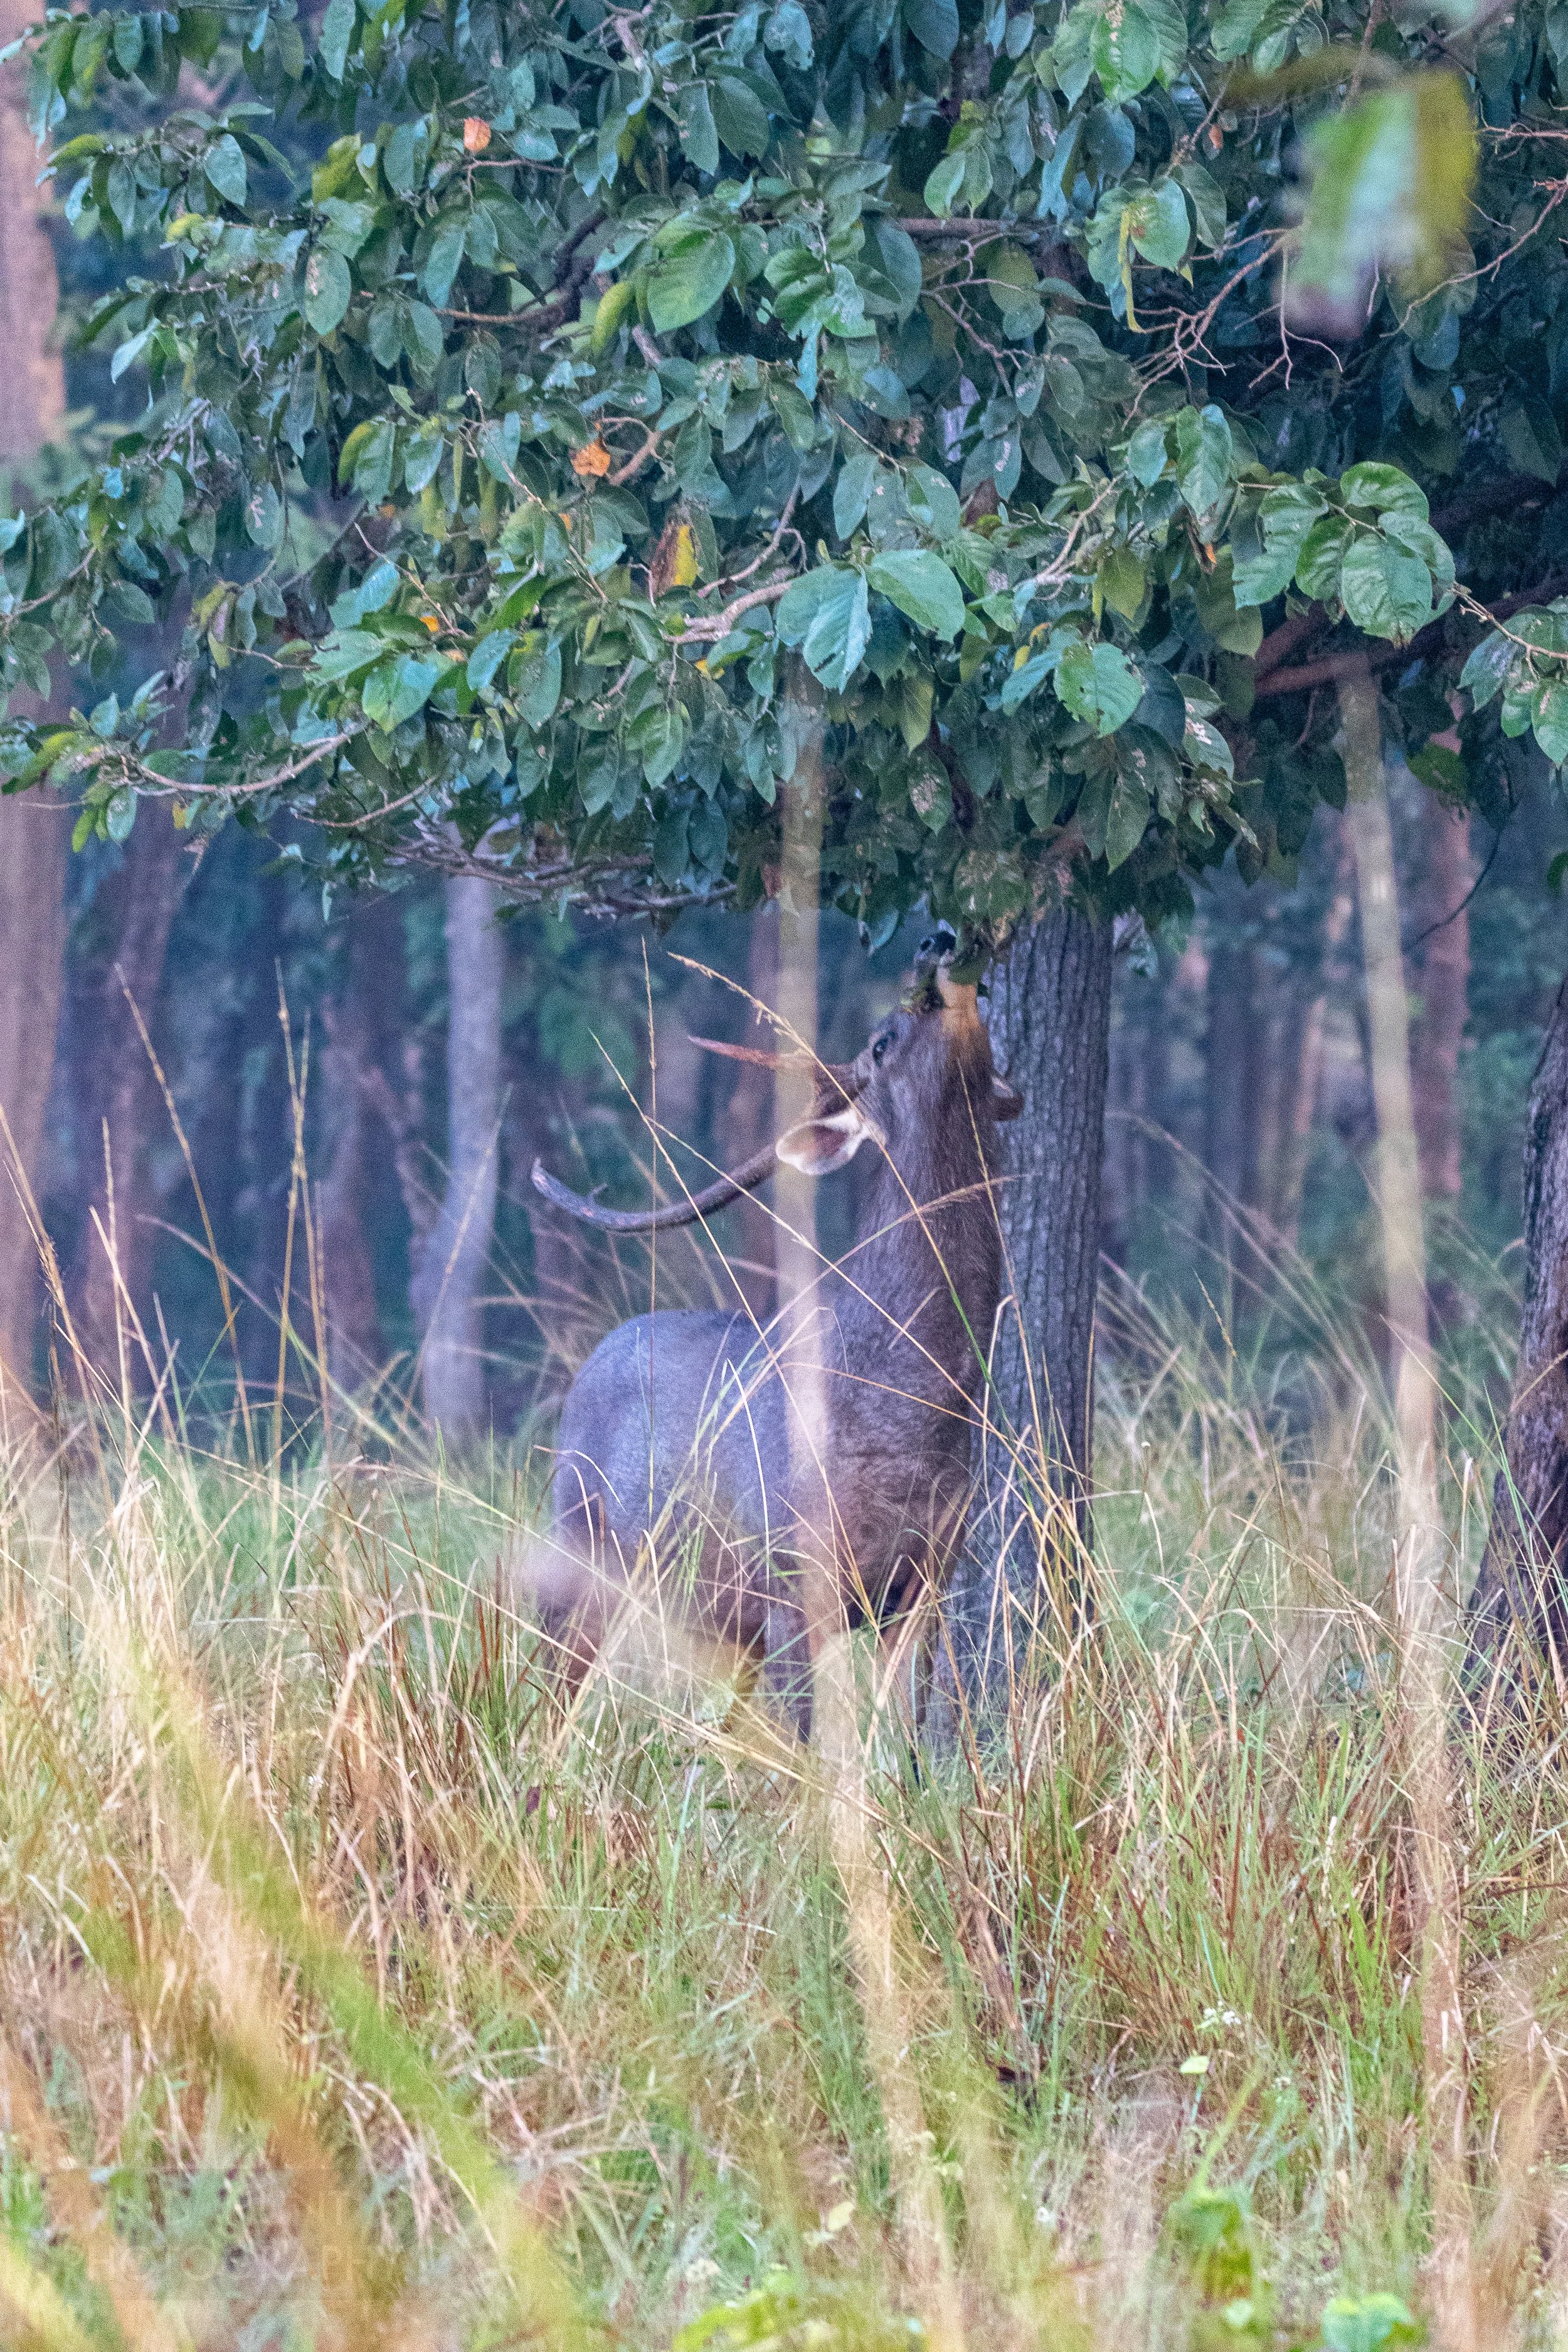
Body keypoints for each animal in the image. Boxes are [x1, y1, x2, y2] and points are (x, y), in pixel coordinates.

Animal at [526, 929, 1021, 1738]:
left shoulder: (927, 1580)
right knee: (544, 1690)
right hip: (580, 1543)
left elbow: (904, 1740)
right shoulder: (792, 1581)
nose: (936, 938)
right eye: (881, 1040)